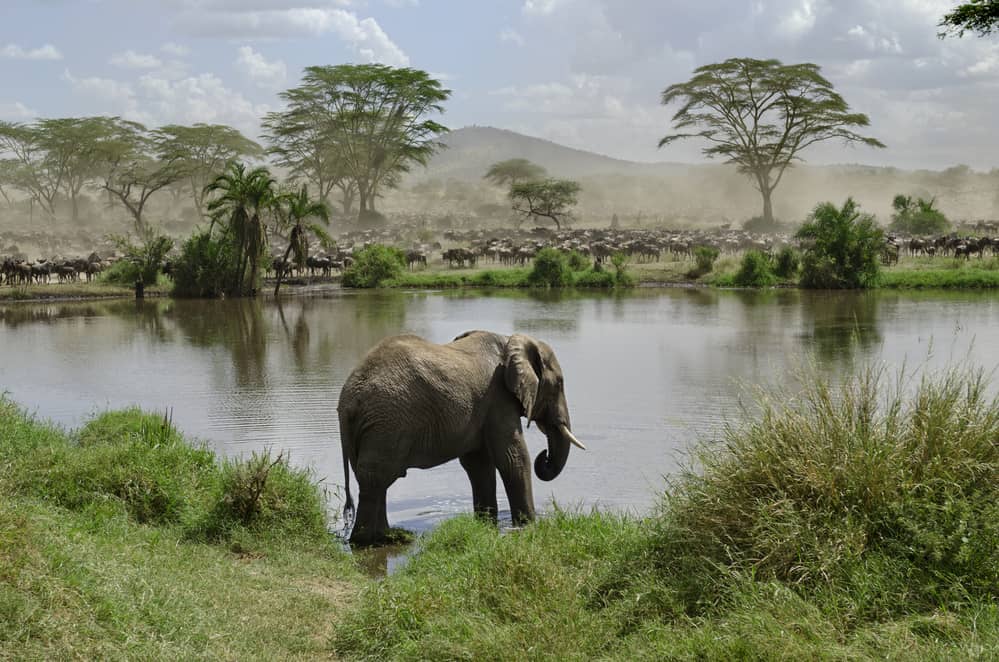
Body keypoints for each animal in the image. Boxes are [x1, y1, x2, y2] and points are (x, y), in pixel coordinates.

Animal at [338, 330, 584, 548]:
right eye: (559, 384)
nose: (545, 456)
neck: (511, 340)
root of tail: (348, 400)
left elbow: (479, 464)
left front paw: (486, 524)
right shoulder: (498, 398)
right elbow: (513, 457)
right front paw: (528, 526)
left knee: (374, 480)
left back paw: (387, 537)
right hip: (387, 421)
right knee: (376, 477)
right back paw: (369, 541)